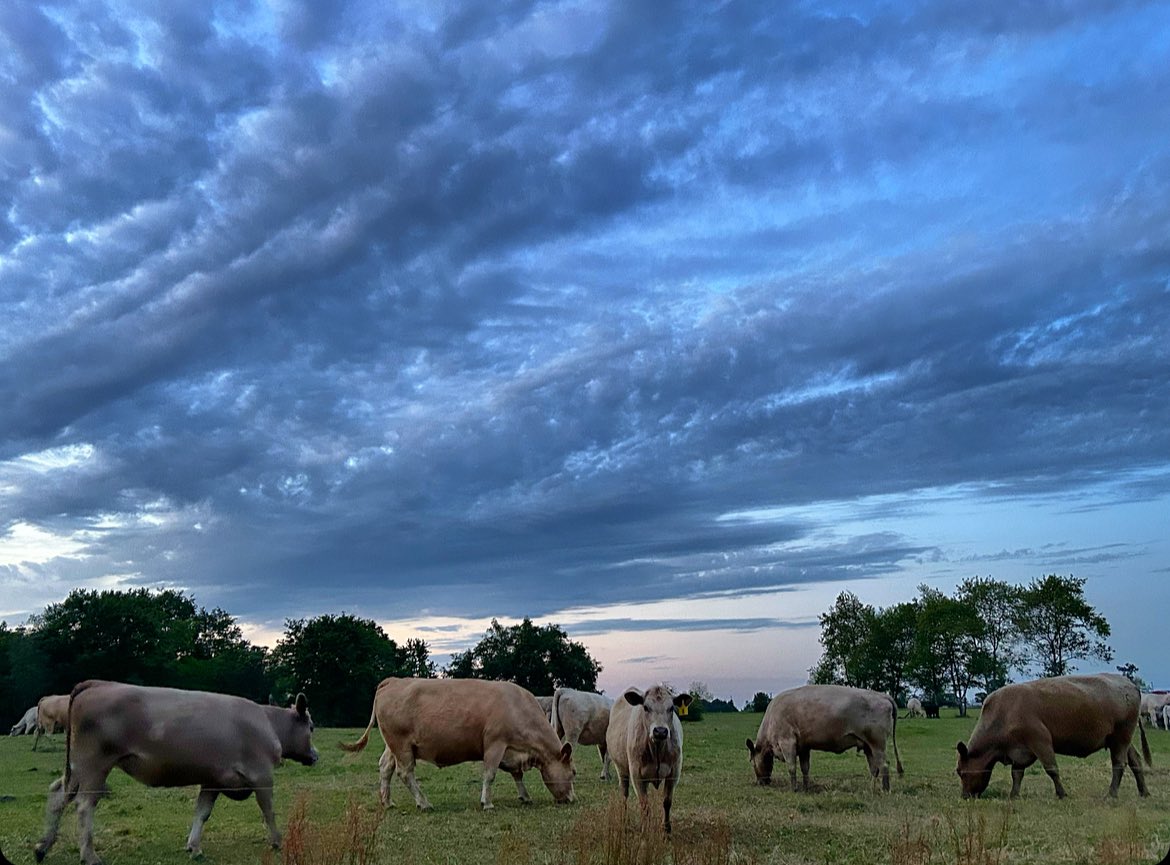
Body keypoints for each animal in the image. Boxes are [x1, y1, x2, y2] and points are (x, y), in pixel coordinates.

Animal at [34, 678, 318, 861]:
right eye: (312, 727)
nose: (315, 755)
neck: (267, 722)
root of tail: (97, 683)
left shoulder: (213, 780)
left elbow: (202, 813)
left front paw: (194, 847)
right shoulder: (262, 776)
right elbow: (268, 811)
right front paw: (278, 841)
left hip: (77, 767)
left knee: (58, 794)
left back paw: (42, 847)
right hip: (95, 764)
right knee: (84, 805)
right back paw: (89, 855)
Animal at [339, 678, 575, 809]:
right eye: (573, 773)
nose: (572, 799)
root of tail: (393, 681)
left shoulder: (511, 751)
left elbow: (517, 775)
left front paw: (525, 797)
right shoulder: (495, 744)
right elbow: (489, 775)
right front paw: (487, 803)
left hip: (393, 746)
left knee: (385, 768)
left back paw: (387, 802)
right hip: (402, 746)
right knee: (405, 773)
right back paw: (423, 803)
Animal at [603, 683, 692, 833]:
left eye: (671, 708)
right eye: (645, 707)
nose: (660, 731)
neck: (657, 748)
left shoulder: (674, 772)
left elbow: (667, 802)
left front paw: (666, 829)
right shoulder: (636, 774)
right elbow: (644, 805)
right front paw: (645, 830)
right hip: (621, 769)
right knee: (624, 795)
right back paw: (624, 821)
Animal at [959, 674, 1151, 800]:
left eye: (960, 772)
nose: (965, 796)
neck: (1003, 713)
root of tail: (1130, 684)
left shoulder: (1040, 740)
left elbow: (1051, 769)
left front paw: (1062, 794)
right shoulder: (1019, 750)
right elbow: (1017, 774)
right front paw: (1014, 795)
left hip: (1121, 738)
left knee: (1119, 764)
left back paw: (1111, 794)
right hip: (1119, 740)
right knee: (1135, 760)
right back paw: (1144, 792)